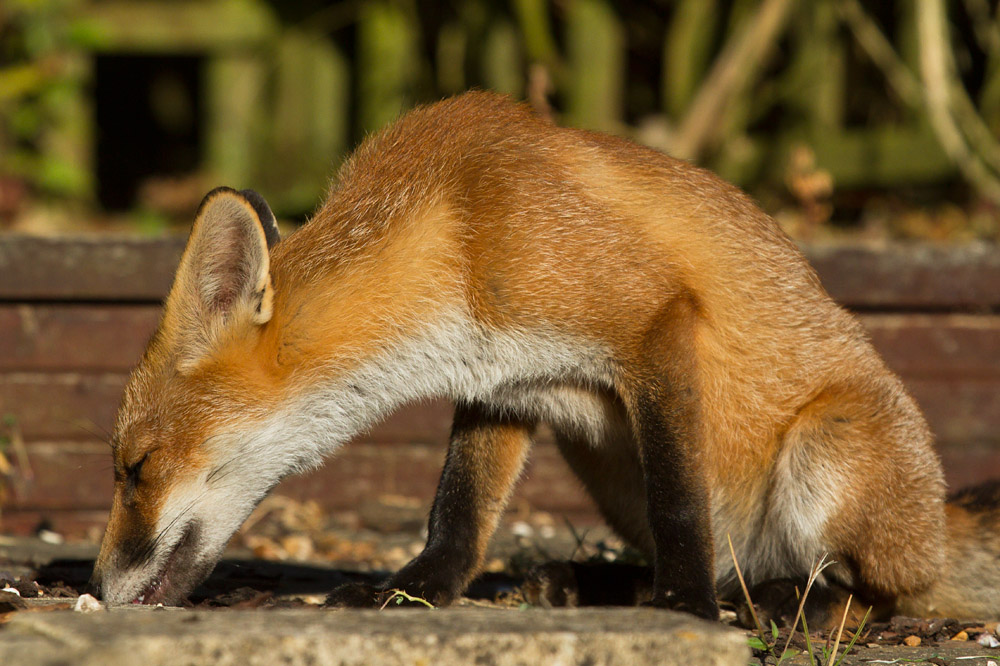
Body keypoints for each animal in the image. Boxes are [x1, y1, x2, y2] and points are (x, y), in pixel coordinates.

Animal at [90, 91, 1000, 623]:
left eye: (135, 469)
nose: (94, 588)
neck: (456, 230)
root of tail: (938, 520)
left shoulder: (655, 317)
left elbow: (681, 503)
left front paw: (683, 608)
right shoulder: (505, 381)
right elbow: (457, 515)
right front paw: (412, 591)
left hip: (827, 448)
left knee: (874, 597)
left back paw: (772, 602)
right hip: (598, 459)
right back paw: (583, 585)